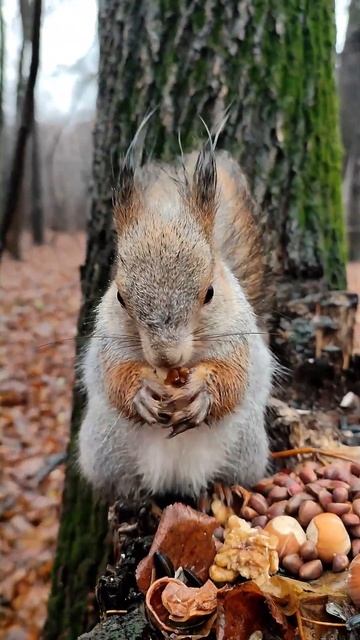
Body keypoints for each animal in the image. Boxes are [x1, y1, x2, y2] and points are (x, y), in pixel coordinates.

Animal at [79, 142, 274, 502]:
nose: (166, 357)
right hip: (103, 449)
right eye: (121, 297)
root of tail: (175, 480)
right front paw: (141, 391)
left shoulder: (237, 339)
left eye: (209, 292)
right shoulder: (109, 342)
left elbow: (233, 377)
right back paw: (131, 494)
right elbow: (114, 375)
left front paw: (202, 394)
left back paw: (223, 489)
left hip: (246, 448)